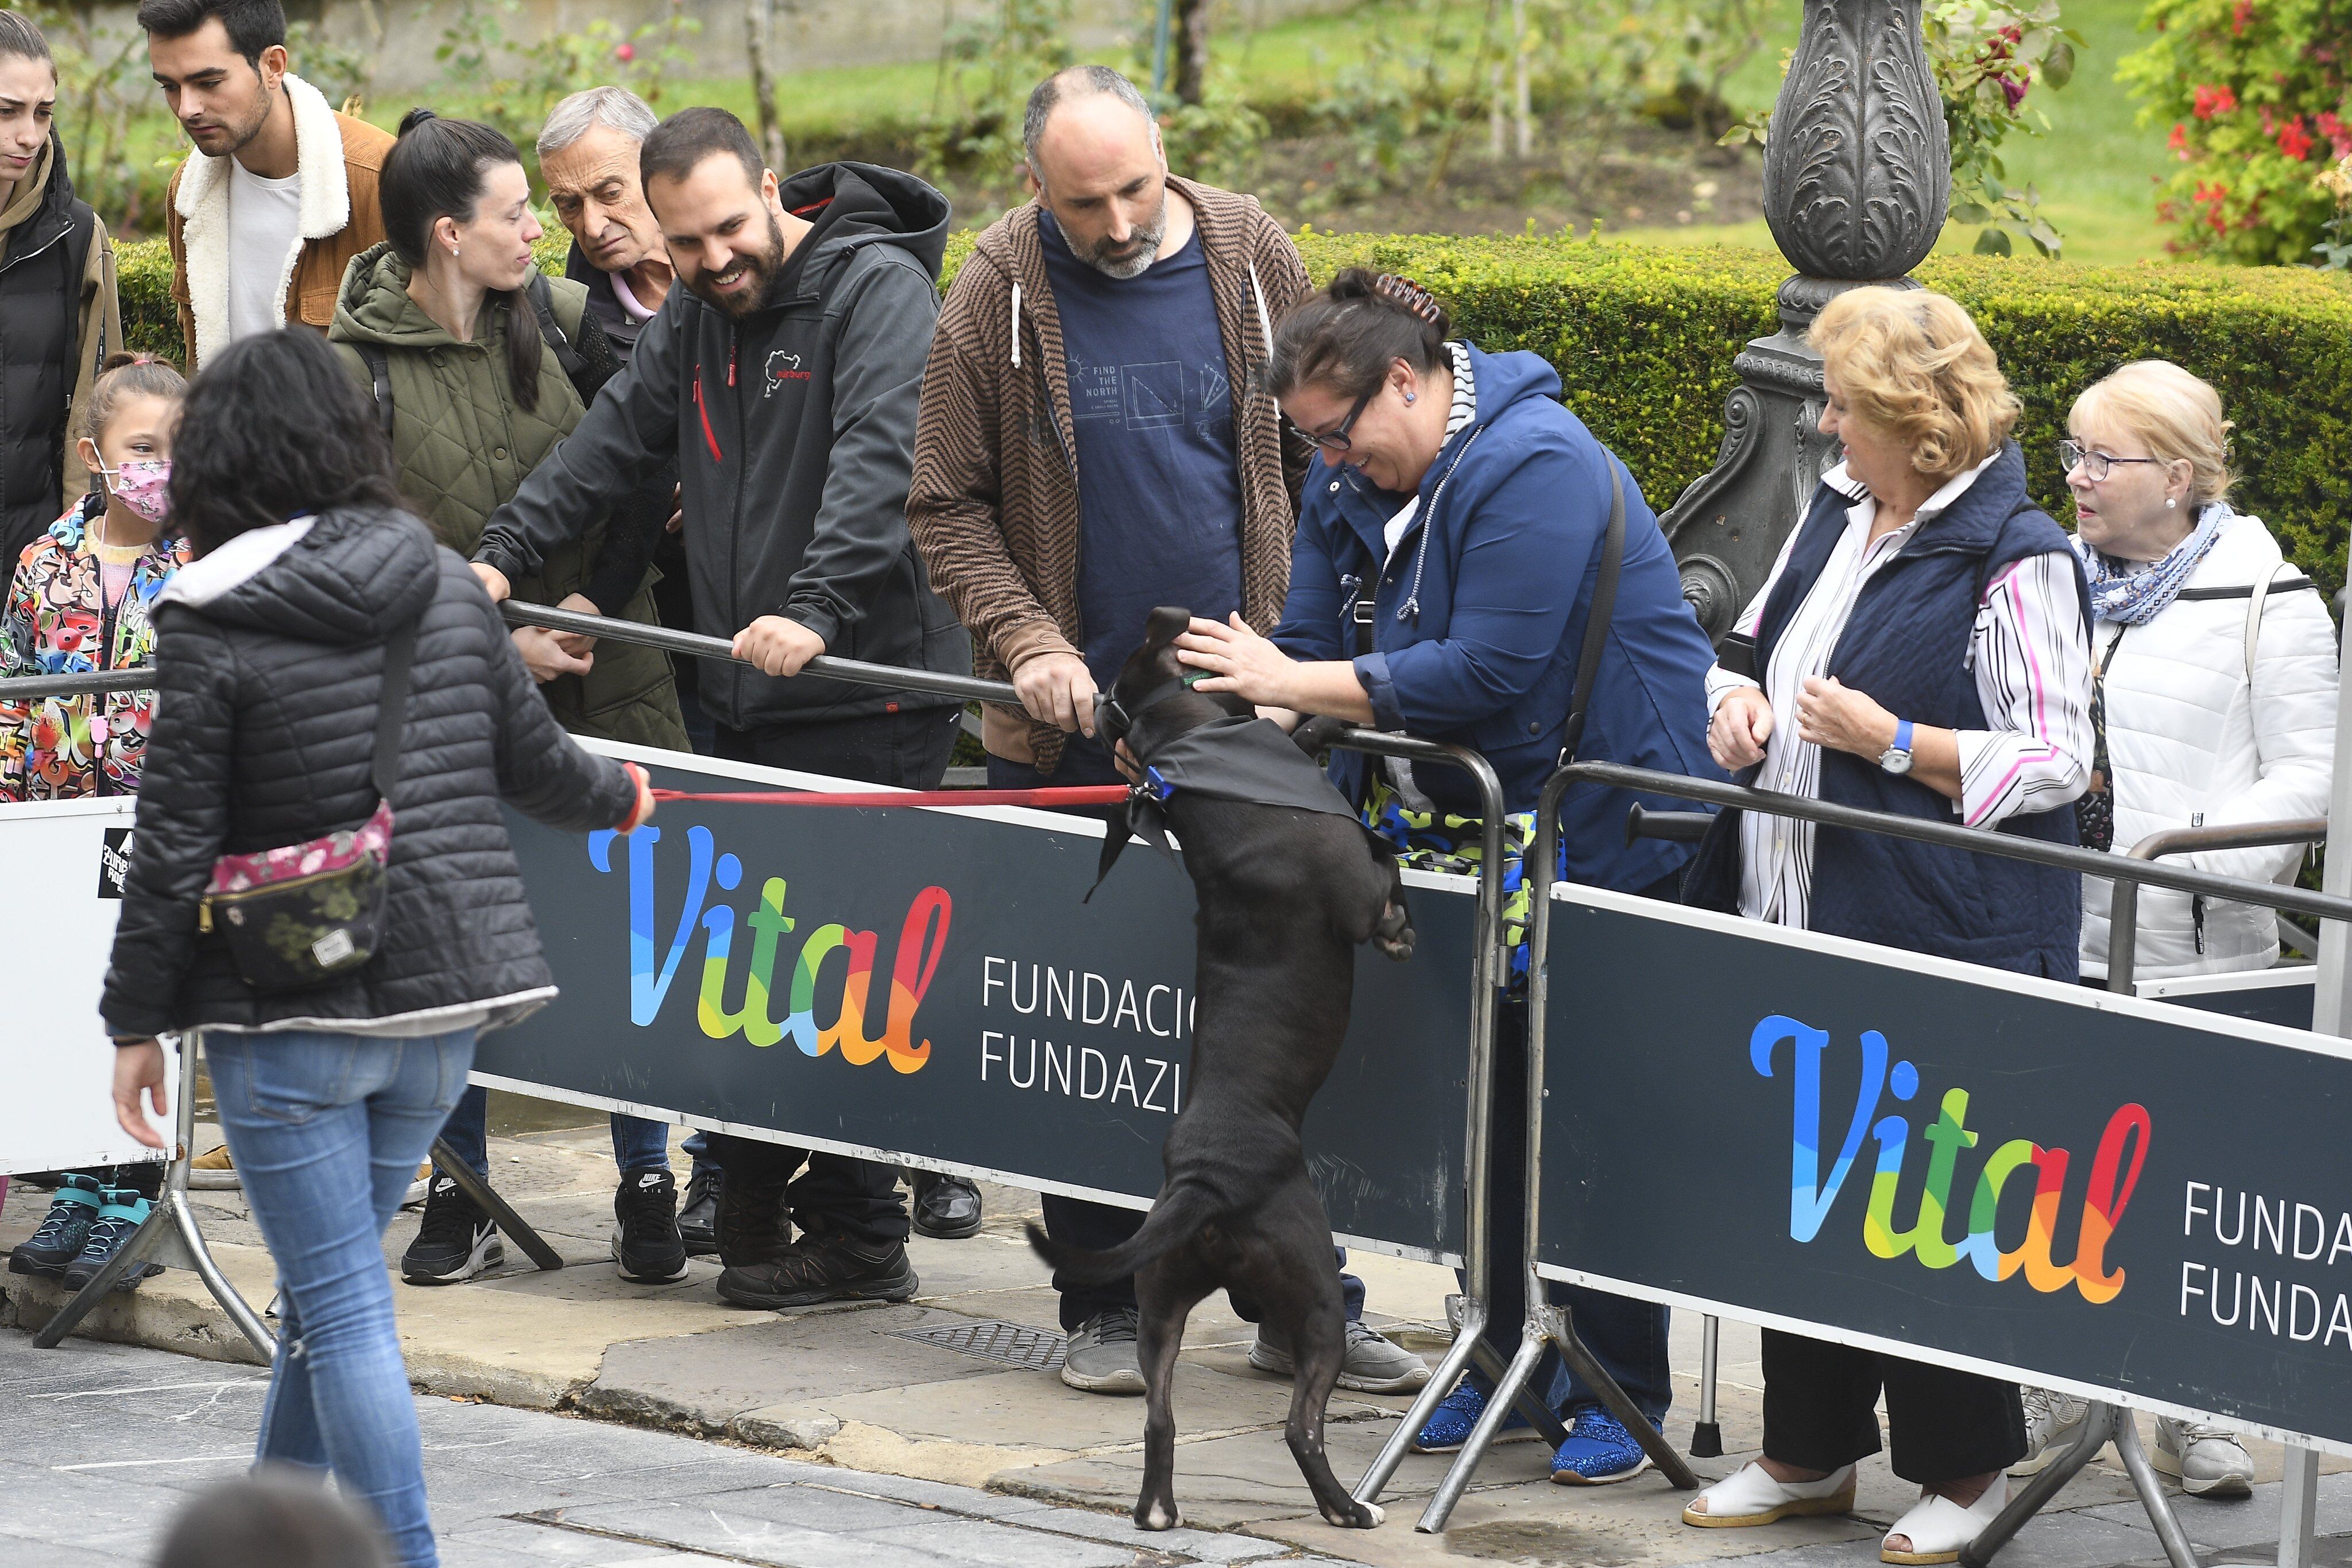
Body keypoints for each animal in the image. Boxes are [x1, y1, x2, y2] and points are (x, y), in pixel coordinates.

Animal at [1025, 606, 1392, 1532]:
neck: (1189, 753)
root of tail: (1204, 1184)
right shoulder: (1358, 891)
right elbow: (1388, 882)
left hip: (1160, 1300)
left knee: (1159, 1415)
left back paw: (1157, 1509)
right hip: (1315, 1298)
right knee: (1302, 1426)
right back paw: (1348, 1508)